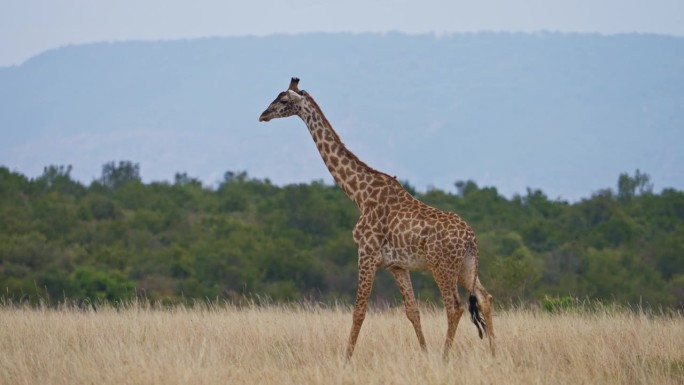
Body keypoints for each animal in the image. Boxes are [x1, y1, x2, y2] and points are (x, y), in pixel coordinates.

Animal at [260, 77, 494, 356]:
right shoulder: (397, 266)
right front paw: (424, 354)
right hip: (467, 266)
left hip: (443, 267)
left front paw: (346, 359)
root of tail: (471, 238)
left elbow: (359, 311)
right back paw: (495, 354)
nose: (263, 114)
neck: (360, 194)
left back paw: (445, 357)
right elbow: (412, 311)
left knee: (455, 307)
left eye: (284, 100)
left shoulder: (367, 254)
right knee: (484, 298)